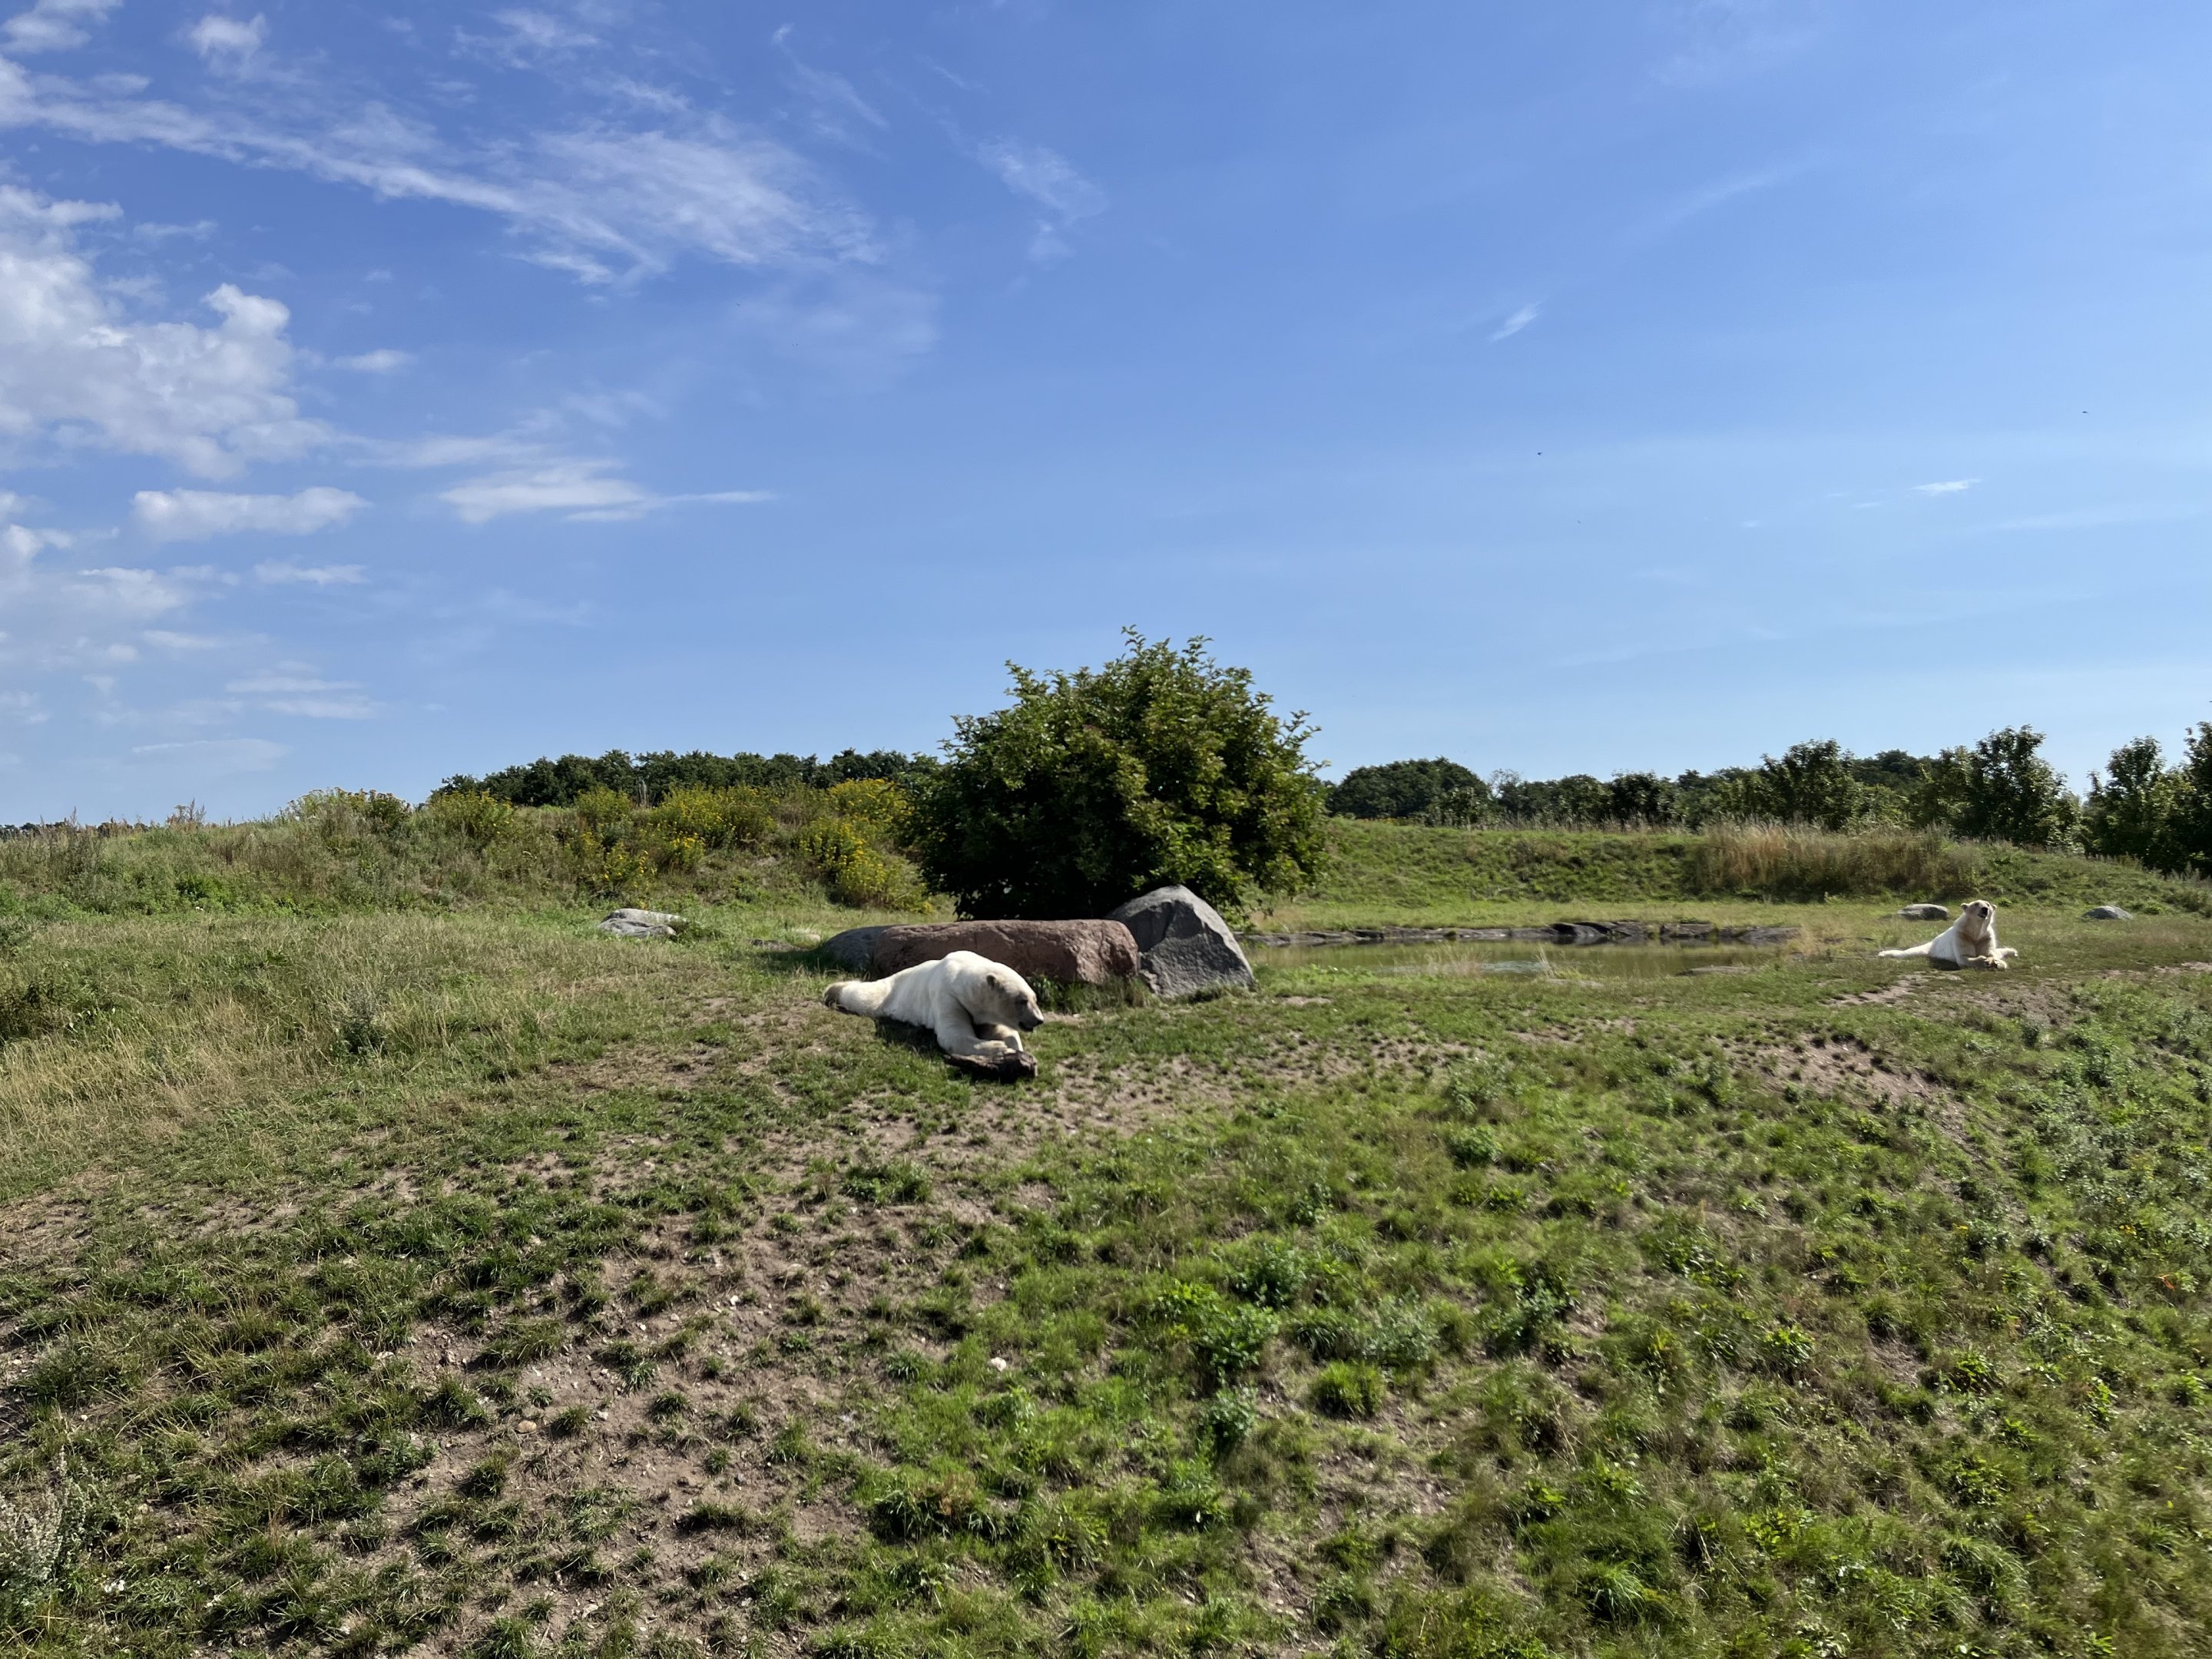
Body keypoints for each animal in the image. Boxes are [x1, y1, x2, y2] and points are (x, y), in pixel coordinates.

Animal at [823, 950, 1045, 1069]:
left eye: (1035, 999)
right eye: (1021, 1000)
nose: (1039, 1020)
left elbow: (999, 1029)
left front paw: (1016, 1048)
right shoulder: (948, 995)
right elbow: (953, 1035)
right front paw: (999, 1048)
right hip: (891, 993)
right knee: (865, 997)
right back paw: (833, 991)